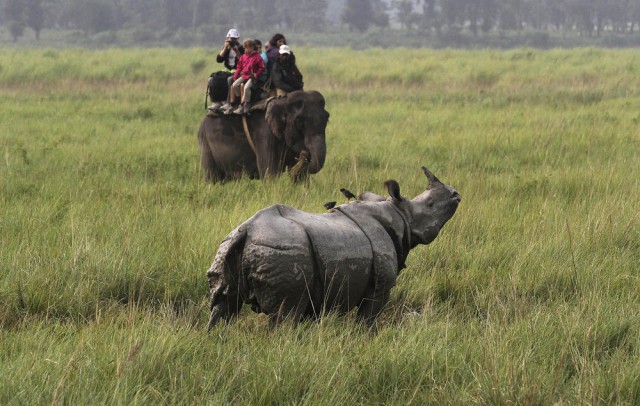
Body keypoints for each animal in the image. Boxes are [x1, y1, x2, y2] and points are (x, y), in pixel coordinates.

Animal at [196, 91, 330, 184]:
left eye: (327, 119)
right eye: (299, 122)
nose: (305, 154)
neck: (284, 101)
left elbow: (300, 176)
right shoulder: (264, 134)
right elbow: (269, 171)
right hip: (205, 142)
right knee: (212, 178)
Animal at [205, 167, 460, 328]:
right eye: (430, 204)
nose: (456, 193)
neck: (399, 214)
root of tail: (247, 231)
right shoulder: (379, 287)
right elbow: (368, 319)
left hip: (228, 247)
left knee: (223, 306)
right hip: (282, 251)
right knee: (284, 316)